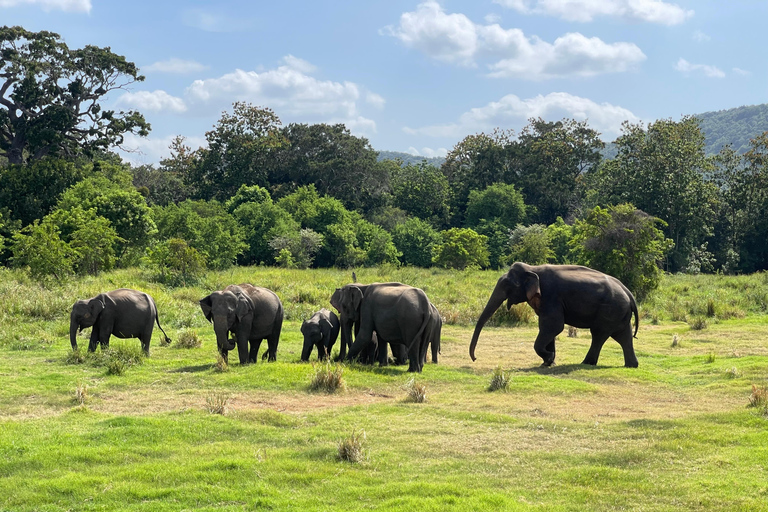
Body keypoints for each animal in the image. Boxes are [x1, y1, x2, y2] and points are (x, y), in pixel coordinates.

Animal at [470, 262, 639, 368]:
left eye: (507, 285)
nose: (475, 358)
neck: (532, 268)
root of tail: (629, 293)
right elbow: (548, 328)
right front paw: (548, 362)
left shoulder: (551, 296)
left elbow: (553, 326)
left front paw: (549, 358)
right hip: (619, 313)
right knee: (623, 336)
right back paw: (631, 365)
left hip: (610, 311)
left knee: (598, 335)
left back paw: (586, 363)